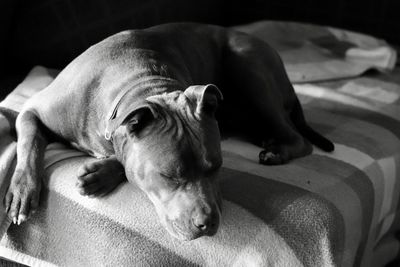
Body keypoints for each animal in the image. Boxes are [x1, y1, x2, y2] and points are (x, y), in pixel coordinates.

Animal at [3, 22, 334, 241]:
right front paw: (22, 192)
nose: (208, 222)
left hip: (249, 68)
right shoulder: (30, 111)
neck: (139, 83)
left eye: (216, 167)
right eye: (168, 176)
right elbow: (30, 145)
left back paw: (275, 150)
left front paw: (100, 174)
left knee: (299, 140)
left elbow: (124, 160)